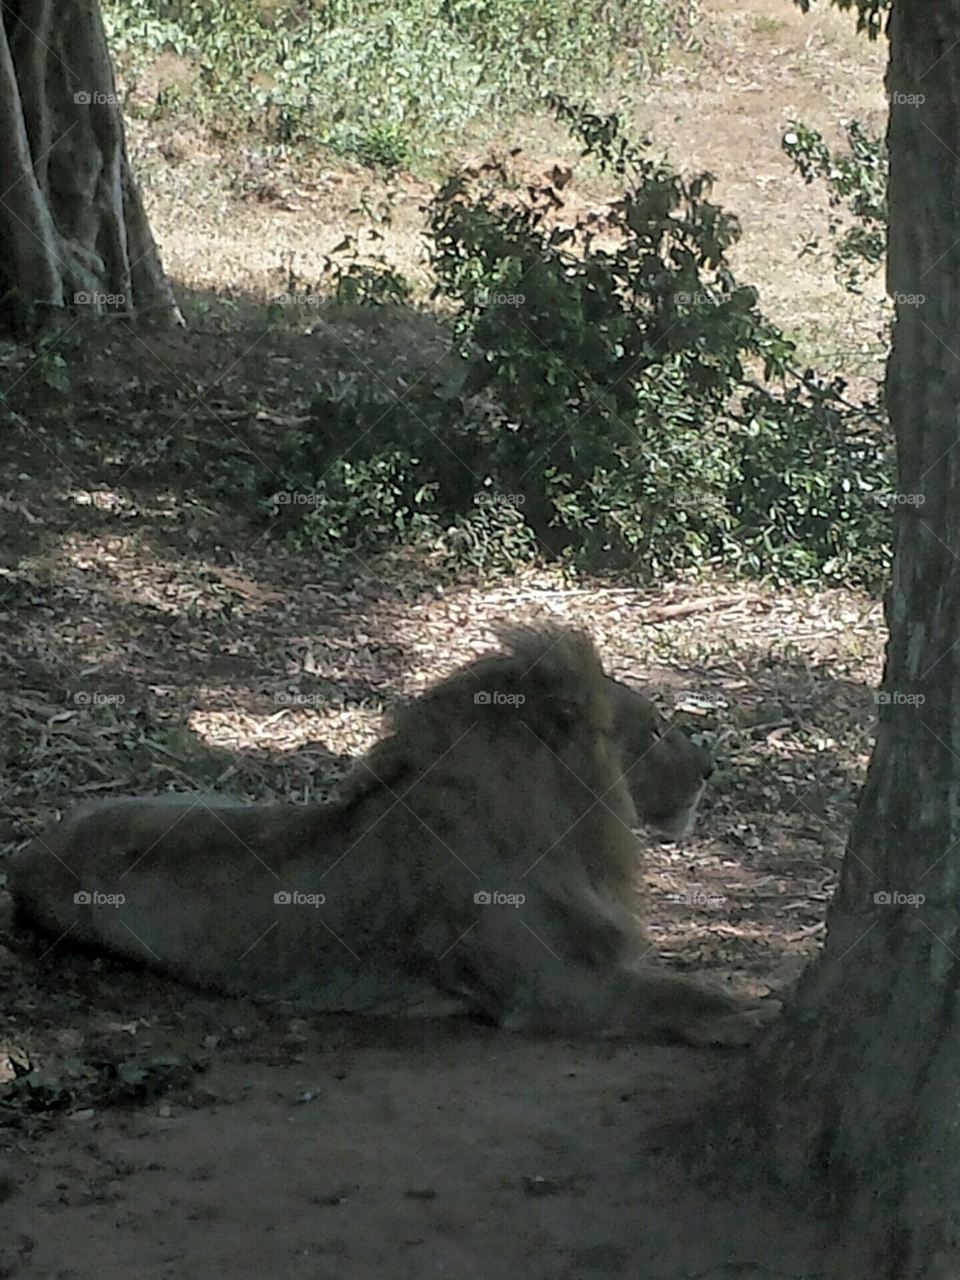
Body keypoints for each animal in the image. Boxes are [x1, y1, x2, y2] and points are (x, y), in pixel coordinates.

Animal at [9, 627, 773, 1047]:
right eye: (655, 730)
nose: (711, 767)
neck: (567, 829)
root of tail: (26, 854)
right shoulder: (549, 989)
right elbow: (673, 993)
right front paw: (750, 1015)